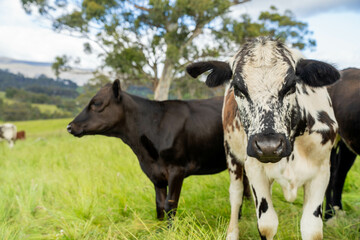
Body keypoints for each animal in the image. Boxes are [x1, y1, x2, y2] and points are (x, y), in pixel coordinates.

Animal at [188, 37, 340, 240]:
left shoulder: (322, 170)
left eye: (291, 86)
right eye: (239, 88)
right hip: (232, 154)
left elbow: (312, 228)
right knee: (235, 194)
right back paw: (232, 232)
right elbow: (267, 225)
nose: (269, 146)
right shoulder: (254, 168)